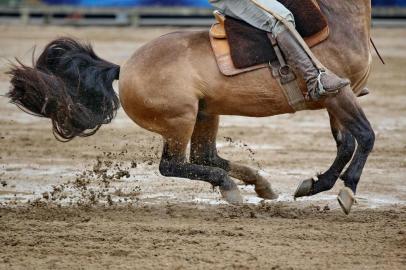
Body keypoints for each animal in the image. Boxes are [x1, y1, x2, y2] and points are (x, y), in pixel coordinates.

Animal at [6, 0, 374, 215]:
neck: (339, 19)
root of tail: (125, 68)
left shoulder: (338, 98)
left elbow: (346, 144)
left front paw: (317, 185)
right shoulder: (339, 96)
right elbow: (365, 137)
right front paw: (348, 191)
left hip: (206, 113)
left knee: (205, 157)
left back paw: (259, 184)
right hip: (180, 119)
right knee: (173, 165)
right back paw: (230, 188)